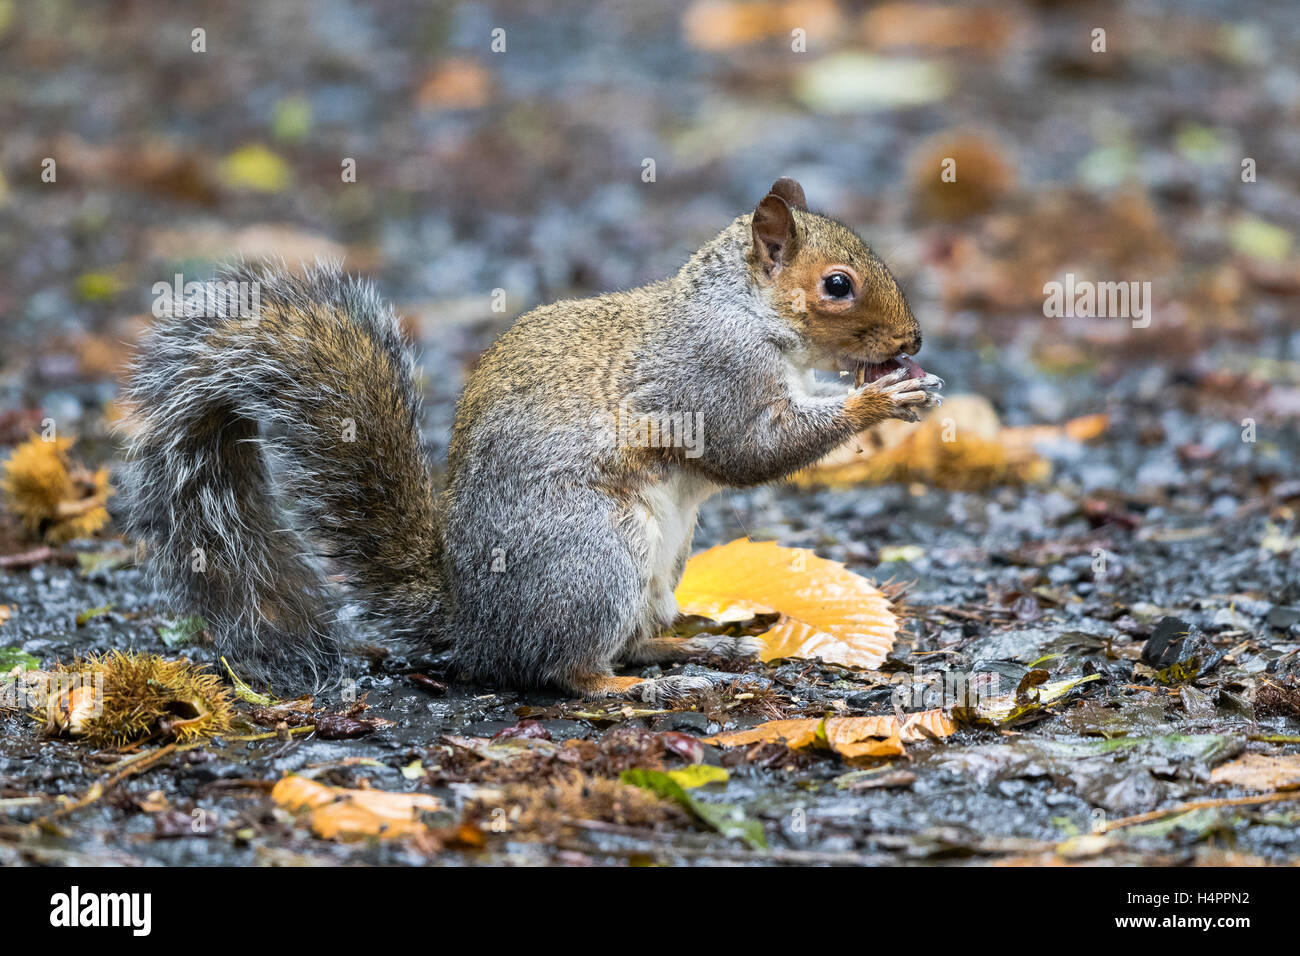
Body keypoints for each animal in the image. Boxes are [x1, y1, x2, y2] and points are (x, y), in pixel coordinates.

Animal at [122, 179, 941, 702]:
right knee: (561, 669)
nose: (914, 341)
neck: (745, 313)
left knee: (632, 639)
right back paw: (629, 688)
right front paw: (880, 399)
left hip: (658, 563)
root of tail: (477, 625)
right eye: (838, 285)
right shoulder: (709, 381)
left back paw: (700, 647)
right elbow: (752, 450)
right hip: (595, 554)